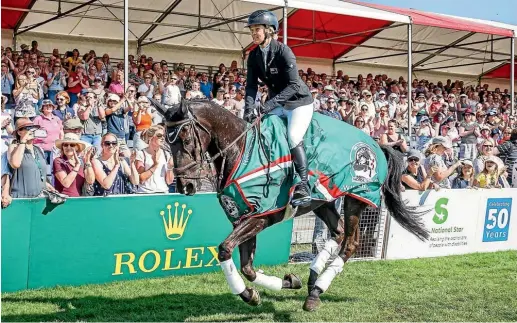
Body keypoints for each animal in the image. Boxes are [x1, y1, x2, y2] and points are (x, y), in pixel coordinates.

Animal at [152, 98, 428, 312]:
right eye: (167, 140)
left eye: (186, 138)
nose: (185, 186)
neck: (242, 151)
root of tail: (375, 144)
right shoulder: (243, 217)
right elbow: (248, 268)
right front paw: (282, 284)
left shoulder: (259, 217)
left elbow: (224, 250)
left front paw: (248, 294)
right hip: (322, 201)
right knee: (337, 232)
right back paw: (312, 280)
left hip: (356, 199)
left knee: (349, 242)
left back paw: (317, 290)